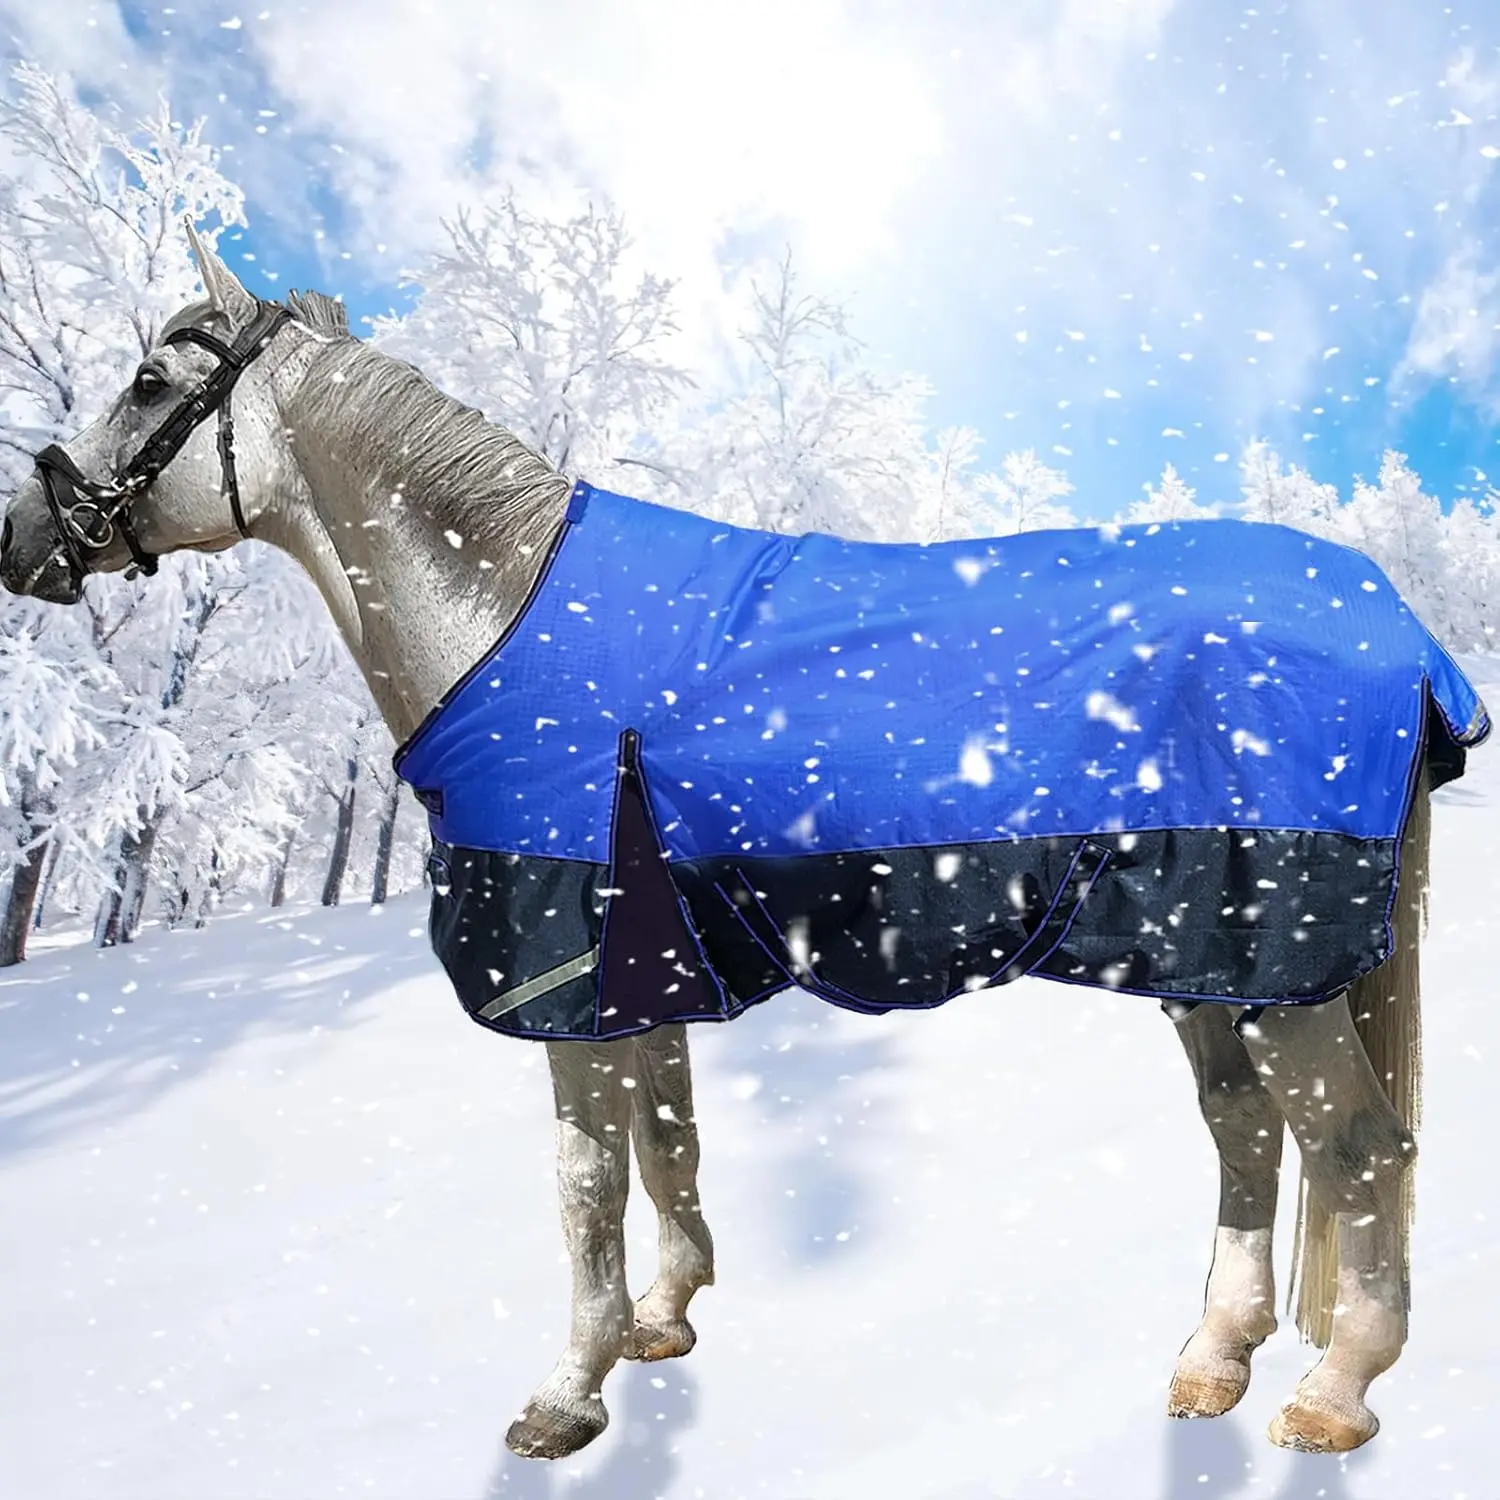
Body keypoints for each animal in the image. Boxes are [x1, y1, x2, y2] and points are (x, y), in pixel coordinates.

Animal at [0, 223, 1482, 1462]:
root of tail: (1395, 623)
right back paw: (1213, 1362)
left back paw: (1335, 1392)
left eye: (147, 381)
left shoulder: (572, 974)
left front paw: (568, 1389)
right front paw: (665, 1320)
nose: (24, 536)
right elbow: (668, 1136)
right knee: (1246, 1136)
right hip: (1203, 960)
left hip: (1272, 959)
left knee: (1360, 1148)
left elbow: (585, 1178)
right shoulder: (645, 973)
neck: (503, 606)